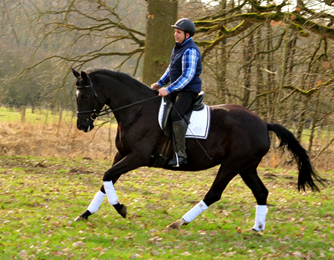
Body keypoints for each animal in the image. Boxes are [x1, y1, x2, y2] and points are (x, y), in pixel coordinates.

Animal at [71, 67, 324, 232]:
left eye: (85, 95)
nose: (82, 126)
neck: (137, 110)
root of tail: (264, 123)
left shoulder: (137, 157)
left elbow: (108, 176)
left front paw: (120, 208)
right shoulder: (122, 154)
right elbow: (106, 181)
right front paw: (84, 215)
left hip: (232, 165)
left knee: (214, 194)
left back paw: (179, 223)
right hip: (247, 167)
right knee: (261, 193)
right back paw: (257, 228)